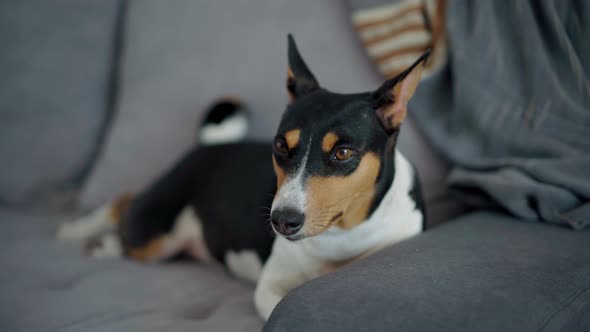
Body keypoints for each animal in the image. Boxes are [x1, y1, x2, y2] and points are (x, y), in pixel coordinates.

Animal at [57, 35, 430, 320]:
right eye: (280, 145)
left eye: (343, 153)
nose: (281, 221)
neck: (341, 234)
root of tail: (209, 146)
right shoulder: (270, 288)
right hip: (154, 231)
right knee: (124, 205)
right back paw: (82, 233)